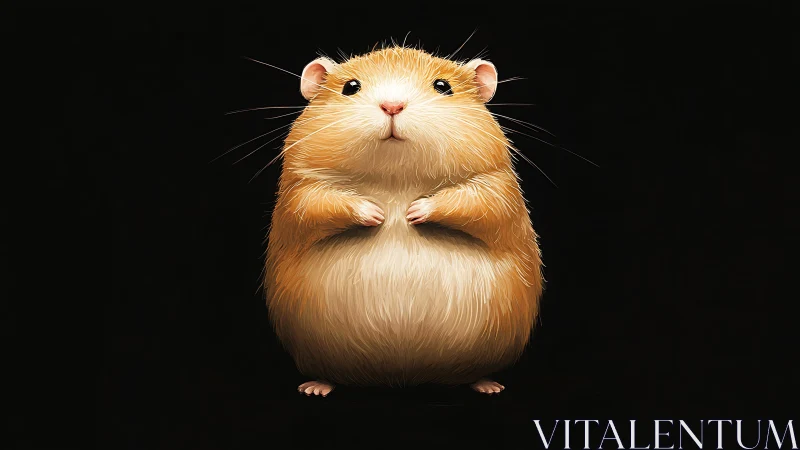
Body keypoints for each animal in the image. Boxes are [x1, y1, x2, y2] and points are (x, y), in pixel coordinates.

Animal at [263, 46, 544, 396]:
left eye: (443, 86)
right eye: (350, 87)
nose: (392, 106)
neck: (395, 175)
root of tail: (402, 377)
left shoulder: (496, 183)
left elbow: (476, 203)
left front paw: (413, 212)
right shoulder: (300, 187)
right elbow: (318, 203)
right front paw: (378, 213)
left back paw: (488, 385)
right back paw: (315, 387)